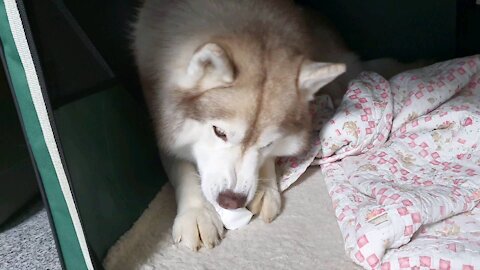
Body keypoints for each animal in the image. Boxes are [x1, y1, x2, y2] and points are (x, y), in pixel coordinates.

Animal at [131, 0, 368, 250]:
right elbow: (181, 165)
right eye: (219, 132)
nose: (231, 201)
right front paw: (197, 212)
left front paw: (265, 186)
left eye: (269, 143)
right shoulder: (161, 119)